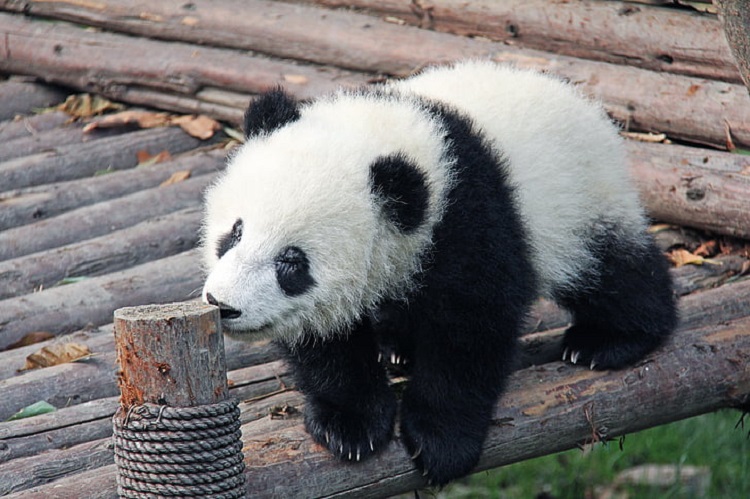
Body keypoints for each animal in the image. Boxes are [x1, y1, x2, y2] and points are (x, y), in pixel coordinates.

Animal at [201, 60, 680, 486]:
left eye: (292, 262)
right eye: (235, 232)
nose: (223, 304)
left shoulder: (469, 217)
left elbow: (470, 328)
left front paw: (440, 442)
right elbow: (327, 341)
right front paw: (350, 424)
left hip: (580, 199)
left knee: (609, 269)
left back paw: (608, 340)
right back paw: (398, 347)